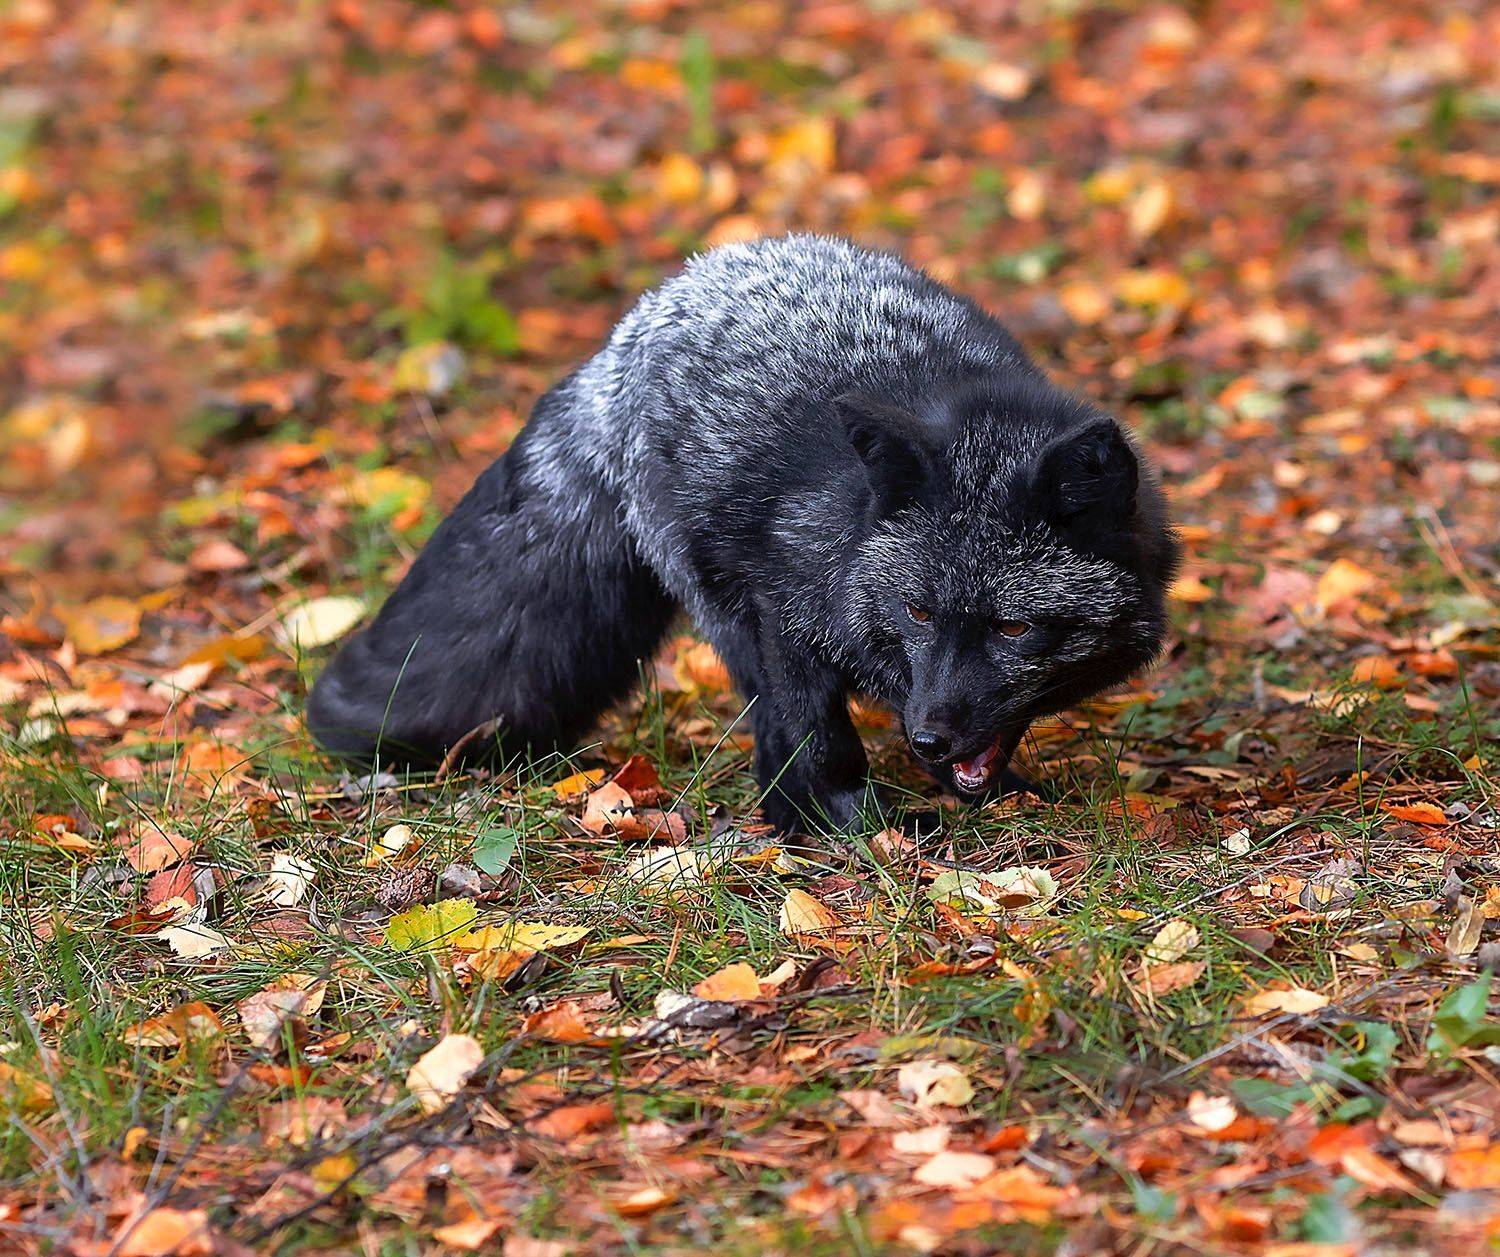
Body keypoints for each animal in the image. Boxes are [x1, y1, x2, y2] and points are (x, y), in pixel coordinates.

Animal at [308, 235, 1179, 833]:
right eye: (919, 613)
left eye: (1013, 628)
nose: (929, 737)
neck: (847, 534)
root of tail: (625, 335)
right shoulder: (785, 612)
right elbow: (819, 739)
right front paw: (852, 827)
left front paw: (994, 791)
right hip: (723, 609)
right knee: (769, 723)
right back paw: (794, 816)